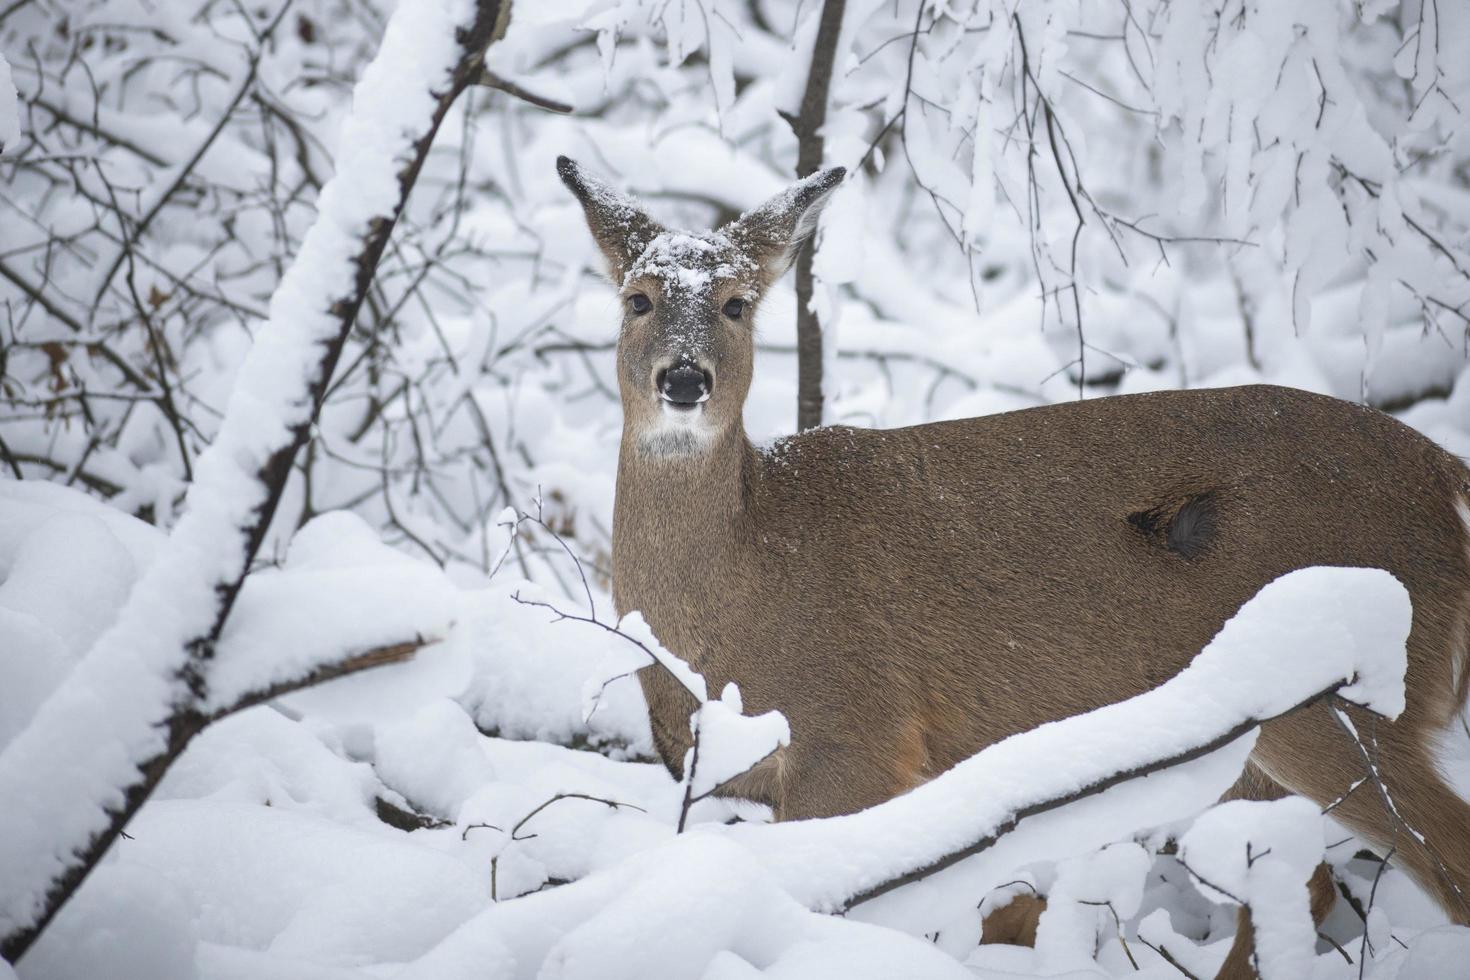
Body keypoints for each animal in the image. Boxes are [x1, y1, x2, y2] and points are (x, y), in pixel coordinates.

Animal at [552, 157, 1470, 975]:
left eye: (738, 304)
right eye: (637, 298)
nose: (683, 379)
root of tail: (1446, 476)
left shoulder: (855, 735)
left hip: (1345, 690)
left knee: (1437, 864)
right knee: (1294, 881)